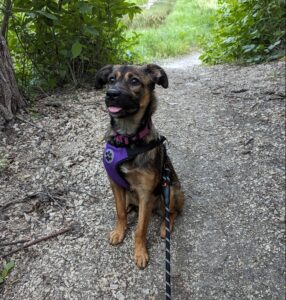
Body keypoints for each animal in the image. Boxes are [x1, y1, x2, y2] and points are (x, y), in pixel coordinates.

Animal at [95, 64, 184, 268]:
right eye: (111, 79)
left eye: (134, 81)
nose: (111, 94)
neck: (128, 140)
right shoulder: (115, 183)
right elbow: (120, 212)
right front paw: (119, 231)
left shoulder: (145, 193)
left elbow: (141, 228)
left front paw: (140, 252)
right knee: (128, 206)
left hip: (171, 191)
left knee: (172, 213)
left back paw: (165, 227)